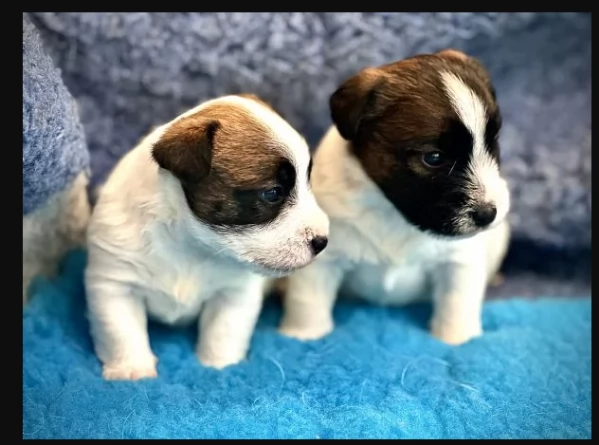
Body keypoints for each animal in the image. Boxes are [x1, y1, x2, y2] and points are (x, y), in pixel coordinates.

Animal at [84, 93, 328, 378]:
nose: (323, 242)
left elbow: (223, 333)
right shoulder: (114, 285)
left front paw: (220, 368)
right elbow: (122, 332)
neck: (190, 245)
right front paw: (133, 370)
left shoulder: (234, 293)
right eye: (273, 193)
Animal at [280, 50, 510, 346]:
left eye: (492, 142)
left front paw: (458, 339)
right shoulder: (323, 259)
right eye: (433, 157)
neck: (392, 212)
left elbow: (458, 303)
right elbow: (307, 301)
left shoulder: (459, 261)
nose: (488, 214)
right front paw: (303, 336)